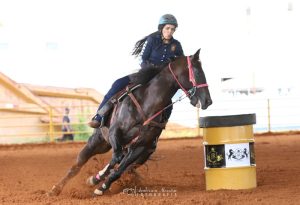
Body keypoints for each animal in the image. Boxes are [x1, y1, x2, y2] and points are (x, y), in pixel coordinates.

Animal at [49, 48, 212, 197]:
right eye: (197, 73)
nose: (207, 101)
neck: (147, 105)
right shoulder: (115, 133)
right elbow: (115, 159)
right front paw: (97, 181)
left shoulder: (141, 147)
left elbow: (119, 169)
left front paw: (101, 187)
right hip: (98, 142)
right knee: (77, 165)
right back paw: (55, 189)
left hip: (139, 153)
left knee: (120, 163)